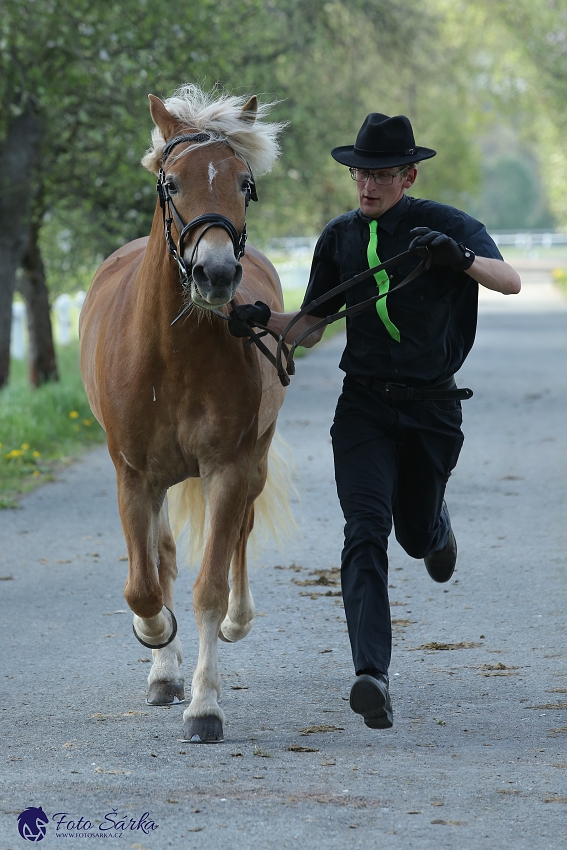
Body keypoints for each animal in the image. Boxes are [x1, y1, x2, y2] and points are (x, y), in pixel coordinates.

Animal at [80, 83, 292, 740]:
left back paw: (235, 623)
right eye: (171, 183)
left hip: (255, 461)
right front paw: (158, 645)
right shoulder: (133, 476)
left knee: (240, 535)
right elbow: (144, 585)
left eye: (244, 183)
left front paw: (205, 707)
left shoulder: (226, 469)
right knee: (163, 557)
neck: (174, 352)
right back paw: (162, 670)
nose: (216, 272)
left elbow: (209, 589)